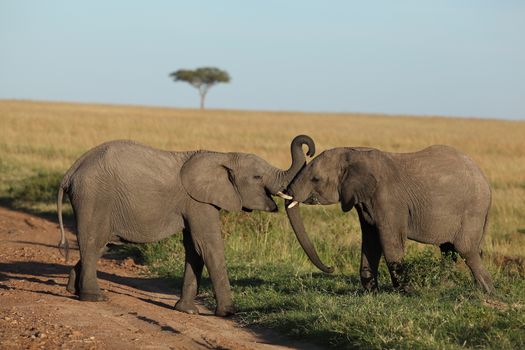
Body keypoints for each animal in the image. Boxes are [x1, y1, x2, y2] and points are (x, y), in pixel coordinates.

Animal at [58, 135, 316, 316]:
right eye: (257, 178)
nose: (309, 148)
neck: (222, 156)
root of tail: (70, 172)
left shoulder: (197, 203)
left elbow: (194, 248)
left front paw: (187, 311)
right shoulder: (199, 202)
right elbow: (208, 245)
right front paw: (228, 313)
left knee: (102, 244)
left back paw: (73, 290)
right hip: (94, 196)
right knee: (94, 241)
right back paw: (93, 297)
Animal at [284, 144, 494, 294]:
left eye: (316, 179)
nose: (331, 267)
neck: (354, 153)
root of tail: (485, 179)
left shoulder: (389, 200)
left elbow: (389, 241)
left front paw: (405, 292)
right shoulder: (364, 201)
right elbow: (370, 240)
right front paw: (371, 292)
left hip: (472, 210)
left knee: (466, 249)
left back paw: (487, 291)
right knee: (448, 250)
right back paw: (444, 286)